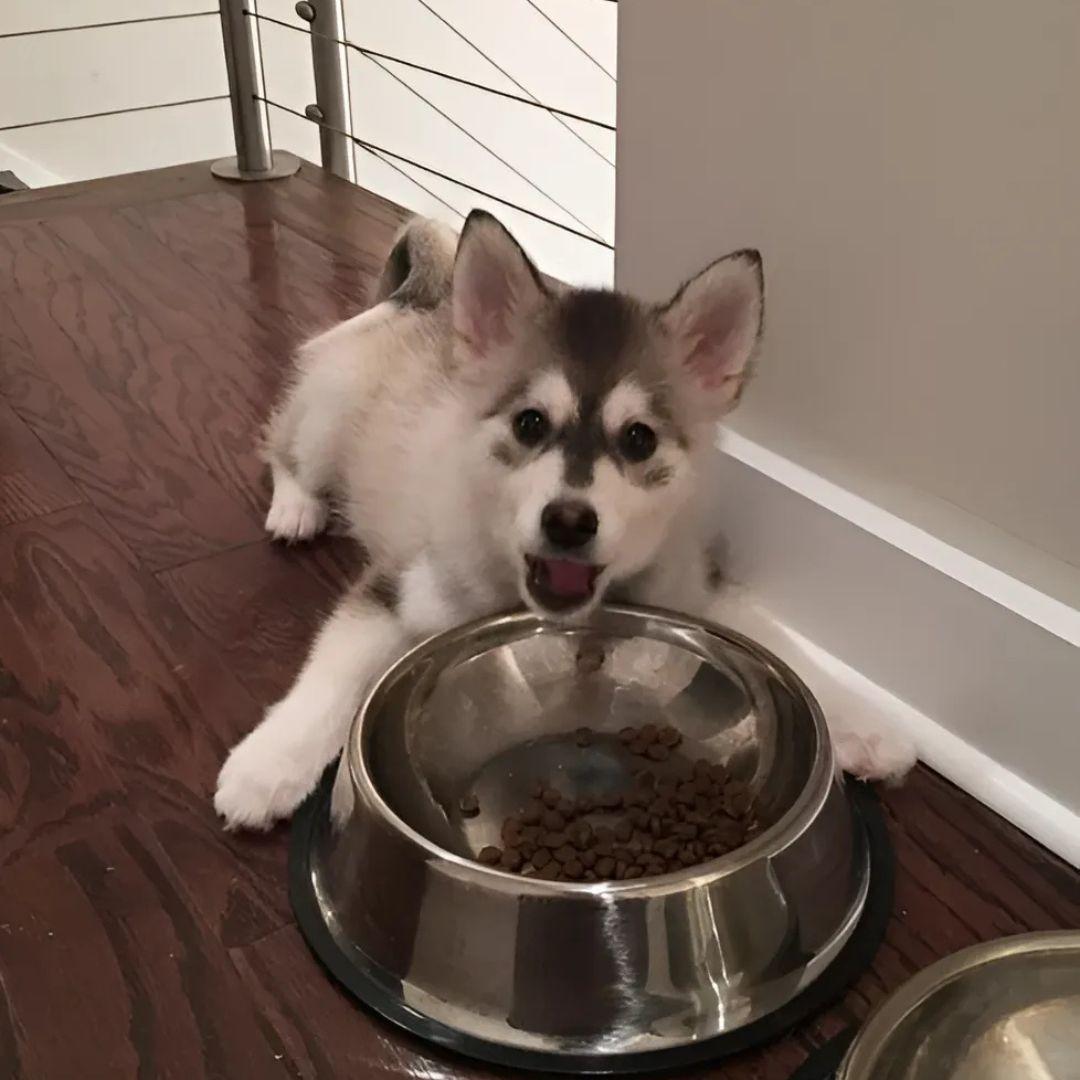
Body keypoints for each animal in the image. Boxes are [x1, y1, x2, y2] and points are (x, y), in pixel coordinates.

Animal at [212, 212, 911, 833]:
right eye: (529, 423)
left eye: (638, 439)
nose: (569, 521)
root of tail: (421, 305)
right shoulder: (395, 589)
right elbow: (330, 673)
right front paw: (268, 765)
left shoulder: (694, 581)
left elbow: (777, 638)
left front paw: (864, 722)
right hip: (325, 416)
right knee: (280, 449)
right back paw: (295, 508)